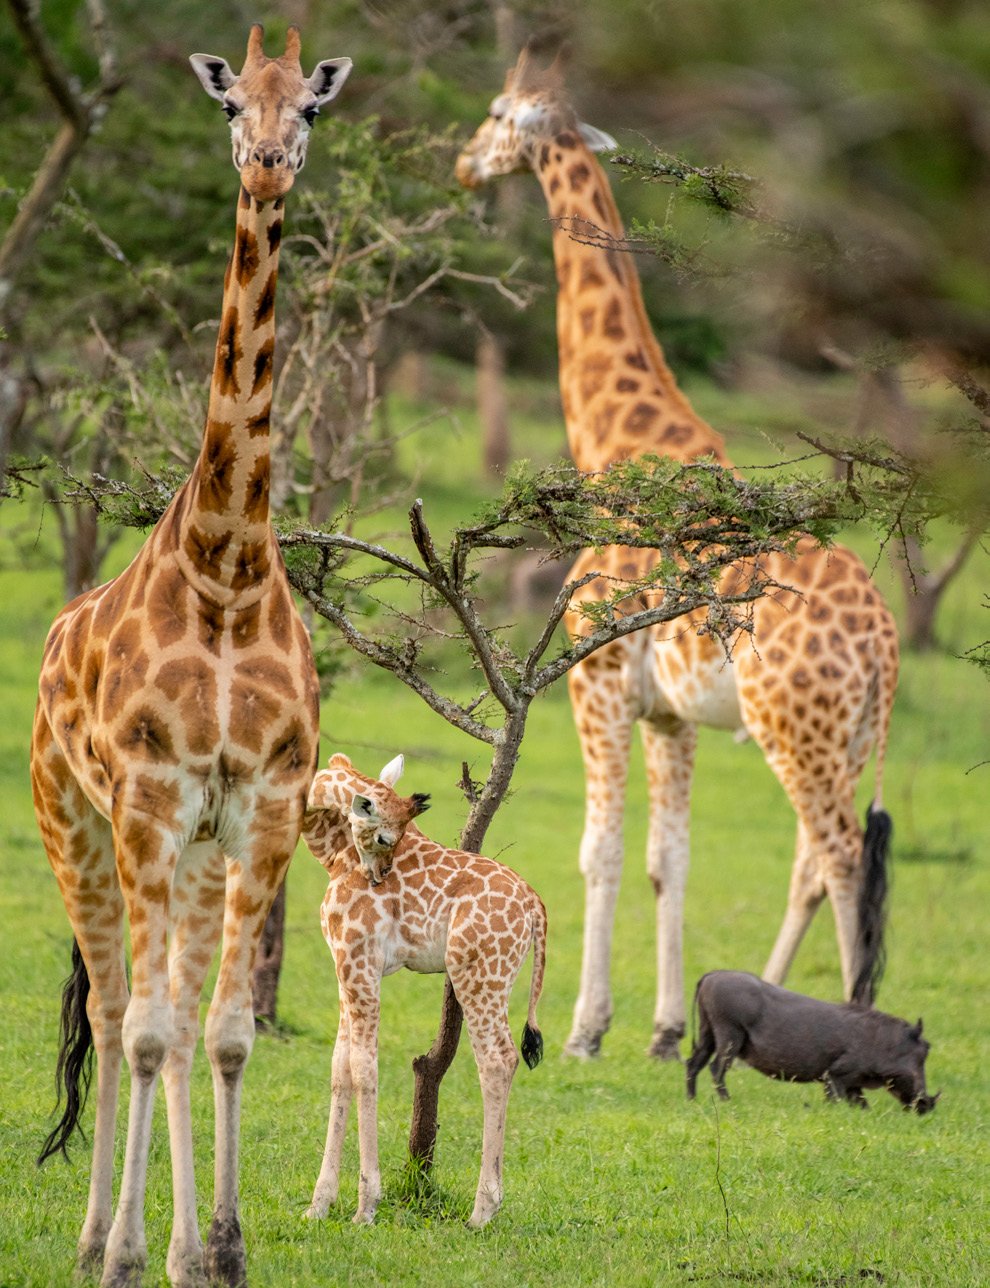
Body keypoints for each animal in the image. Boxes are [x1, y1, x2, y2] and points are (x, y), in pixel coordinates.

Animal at [30, 27, 351, 1288]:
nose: (266, 163)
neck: (226, 574)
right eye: (229, 105)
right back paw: (95, 1239)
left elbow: (222, 1033)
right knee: (119, 1011)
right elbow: (151, 1030)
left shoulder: (258, 808)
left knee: (155, 1011)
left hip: (190, 855)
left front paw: (219, 1244)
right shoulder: (151, 800)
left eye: (308, 108)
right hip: (77, 825)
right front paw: (144, 1250)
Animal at [301, 753, 547, 1230]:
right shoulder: (344, 966)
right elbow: (340, 1068)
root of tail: (535, 908)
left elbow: (364, 1069)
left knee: (498, 1059)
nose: (378, 876)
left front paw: (366, 1206)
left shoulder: (361, 963)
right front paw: (318, 1205)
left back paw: (482, 1211)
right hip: (497, 978)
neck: (332, 853)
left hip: (478, 974)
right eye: (384, 835)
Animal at [456, 49, 899, 1060]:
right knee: (817, 859)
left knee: (840, 855)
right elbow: (671, 858)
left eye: (497, 113)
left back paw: (845, 1026)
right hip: (846, 737)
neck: (618, 442)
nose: (463, 166)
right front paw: (659, 1028)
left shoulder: (598, 680)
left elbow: (601, 851)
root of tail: (887, 648)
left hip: (793, 726)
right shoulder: (670, 713)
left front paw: (584, 1030)